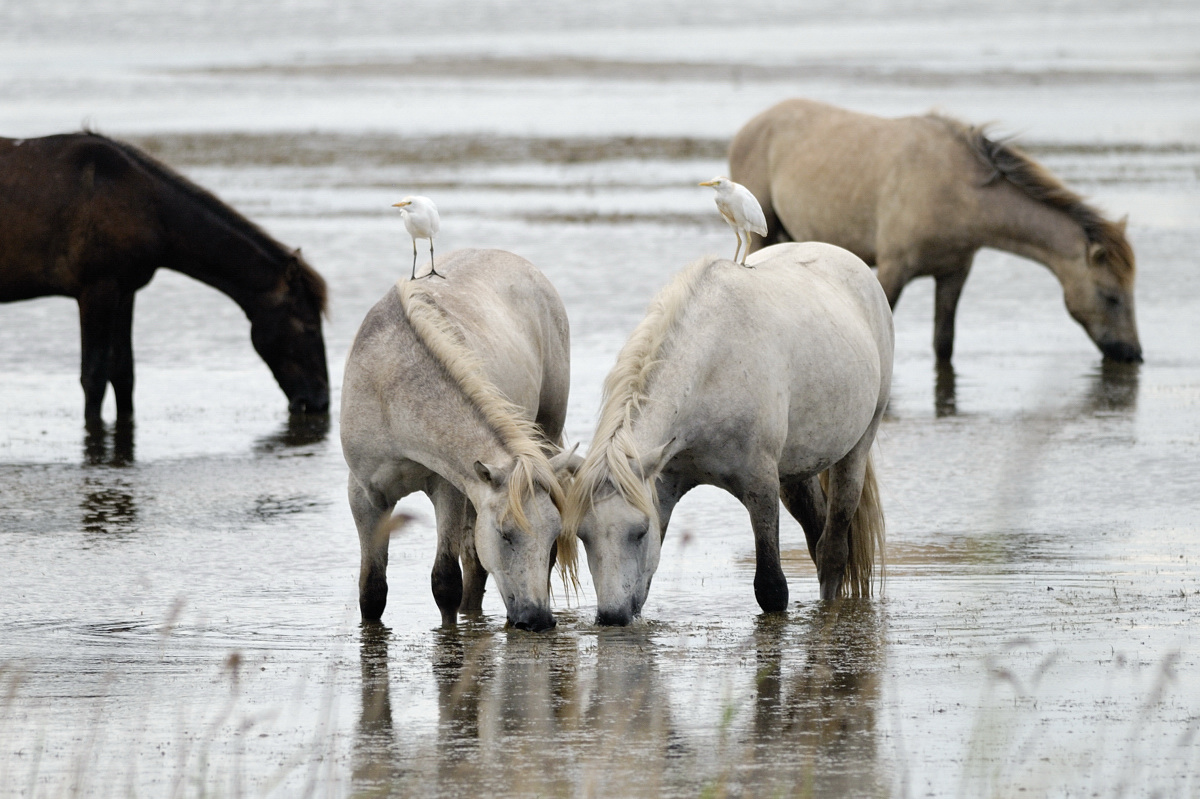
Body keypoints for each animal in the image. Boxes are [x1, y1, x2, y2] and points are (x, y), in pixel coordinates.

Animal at [0, 132, 330, 424]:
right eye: (310, 327)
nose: (319, 401)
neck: (143, 203)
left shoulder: (124, 292)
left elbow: (123, 375)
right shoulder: (96, 291)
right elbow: (93, 378)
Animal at [340, 249, 579, 632]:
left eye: (553, 532)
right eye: (505, 533)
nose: (538, 619)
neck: (388, 387)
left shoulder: (448, 489)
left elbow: (445, 582)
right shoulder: (366, 498)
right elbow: (372, 591)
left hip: (548, 433)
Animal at [564, 242, 891, 626]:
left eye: (640, 531)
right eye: (582, 534)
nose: (611, 616)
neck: (711, 366)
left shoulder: (761, 486)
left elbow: (771, 589)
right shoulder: (664, 485)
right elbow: (644, 587)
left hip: (856, 450)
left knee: (834, 549)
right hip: (797, 473)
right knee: (817, 535)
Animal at [729, 98, 1141, 364]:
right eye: (1111, 297)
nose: (1133, 354)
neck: (957, 189)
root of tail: (751, 126)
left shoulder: (954, 274)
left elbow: (944, 343)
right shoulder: (893, 269)